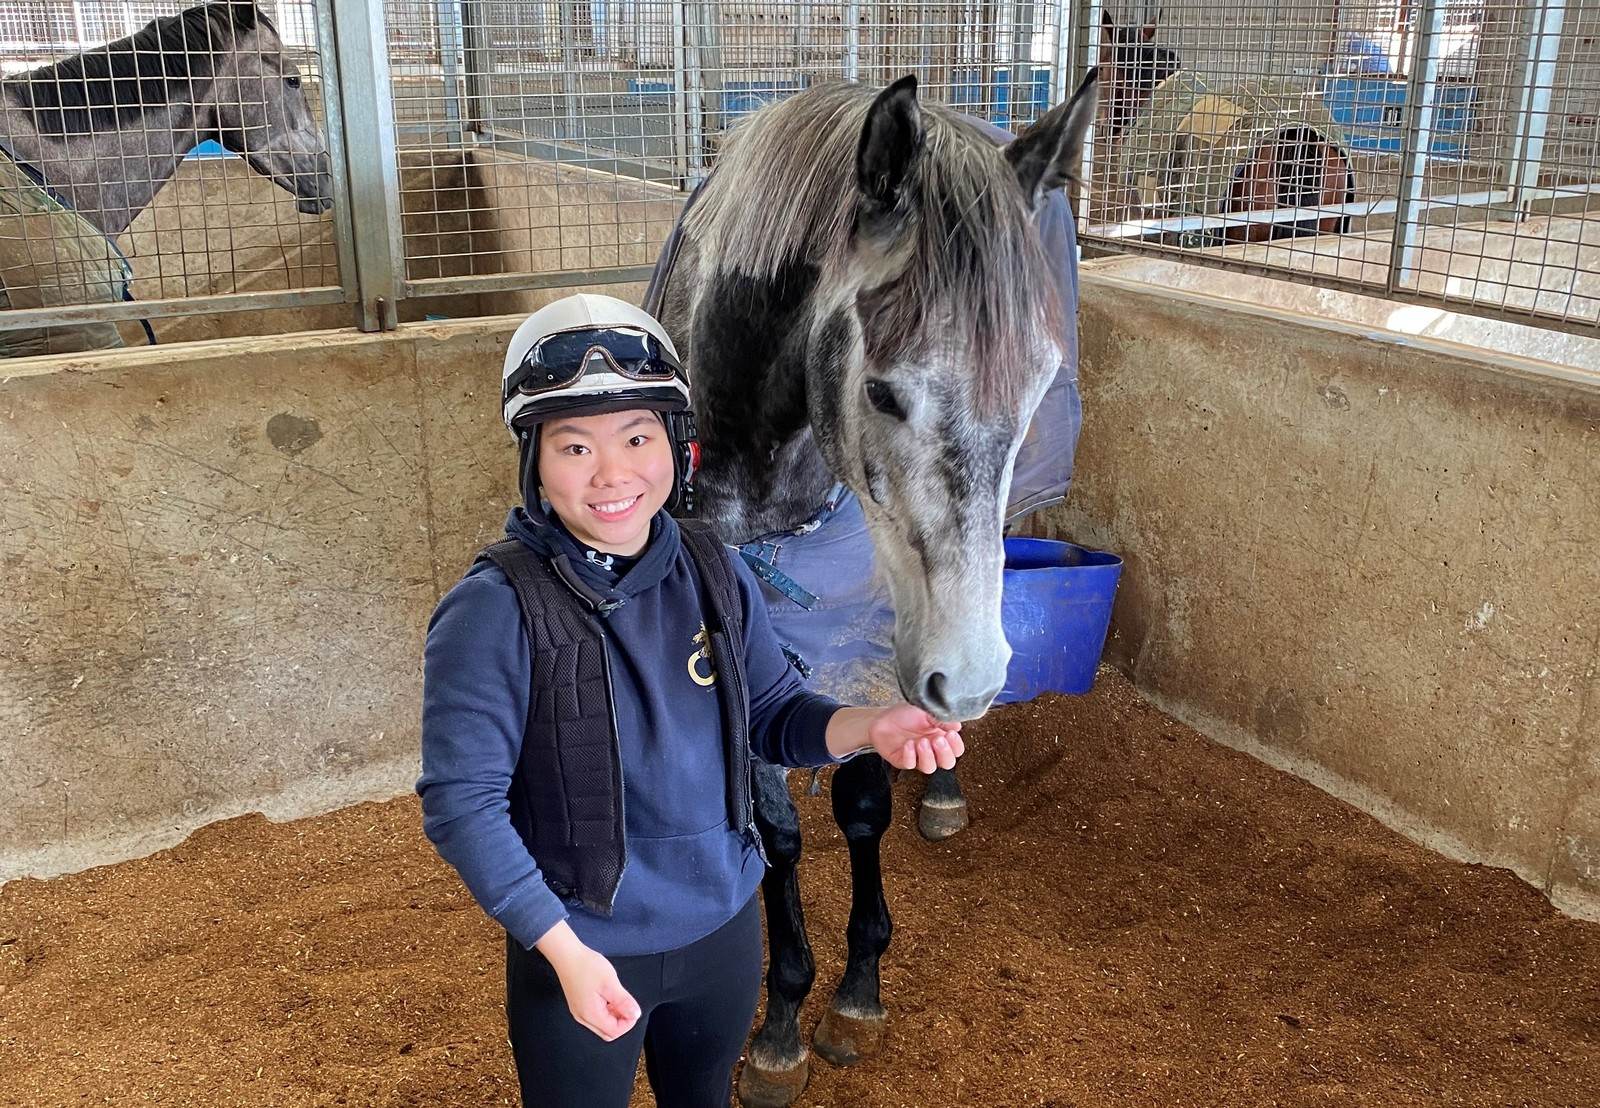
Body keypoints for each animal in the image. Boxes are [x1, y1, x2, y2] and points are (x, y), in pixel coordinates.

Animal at [648, 70, 1098, 1107]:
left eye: (1035, 385)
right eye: (884, 391)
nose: (966, 678)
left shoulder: (863, 640)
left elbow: (861, 807)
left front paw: (855, 996)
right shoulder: (747, 655)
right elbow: (777, 834)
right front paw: (781, 1025)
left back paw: (946, 781)